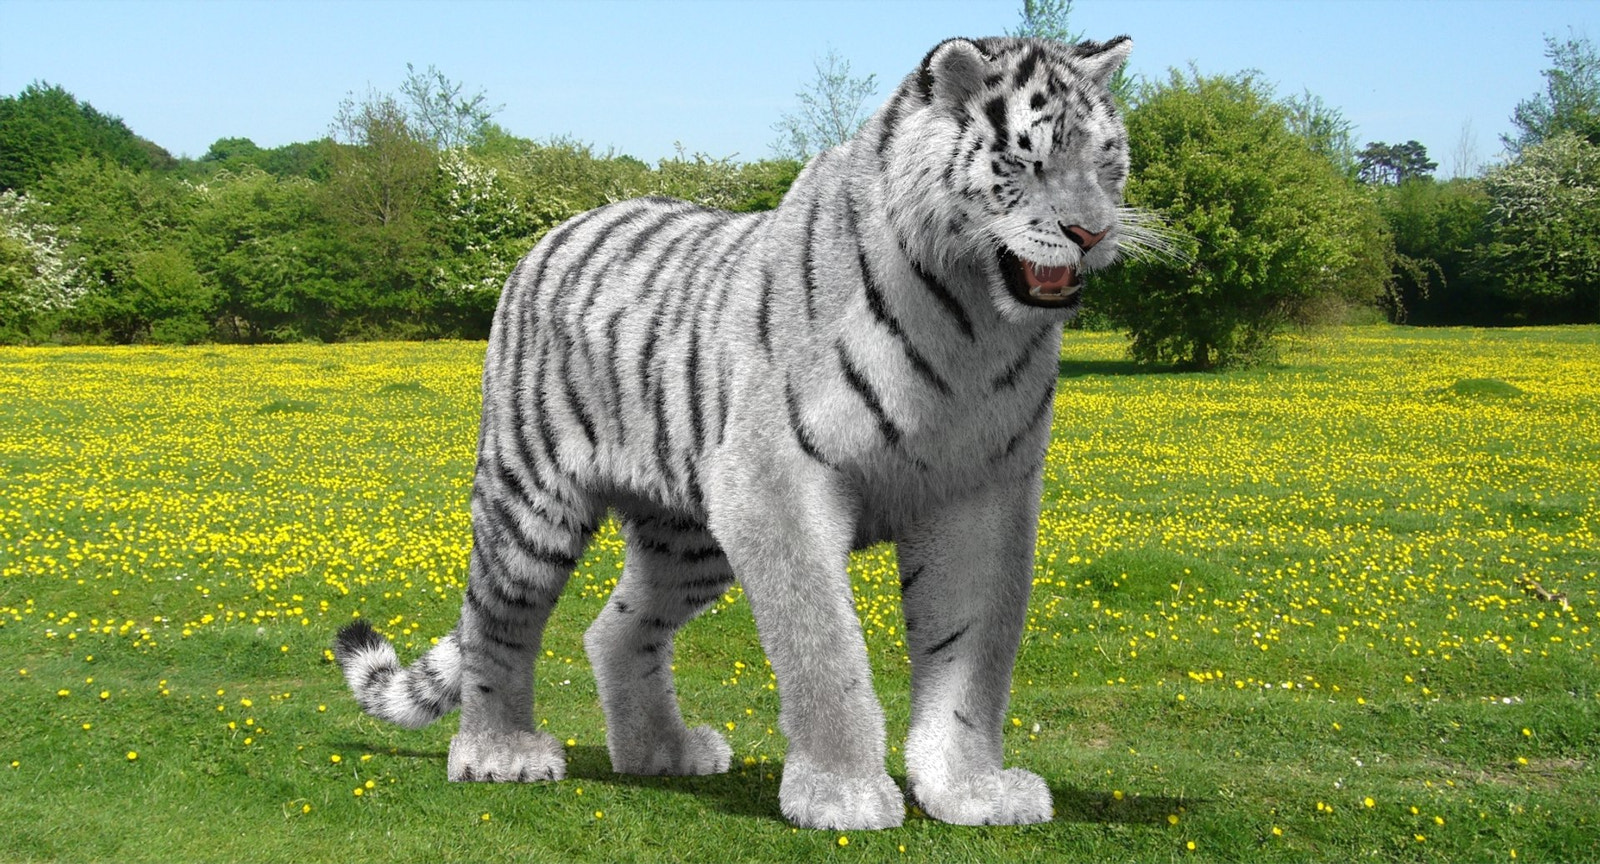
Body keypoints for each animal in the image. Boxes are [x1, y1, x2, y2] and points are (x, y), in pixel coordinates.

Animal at [335, 34, 1159, 830]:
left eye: (1105, 160)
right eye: (1028, 159)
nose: (1092, 233)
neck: (973, 322)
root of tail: (559, 228)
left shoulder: (982, 490)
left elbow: (973, 654)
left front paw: (970, 792)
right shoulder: (777, 485)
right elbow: (824, 647)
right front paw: (842, 794)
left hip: (689, 538)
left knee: (616, 630)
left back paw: (660, 753)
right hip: (532, 500)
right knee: (495, 622)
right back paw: (499, 753)